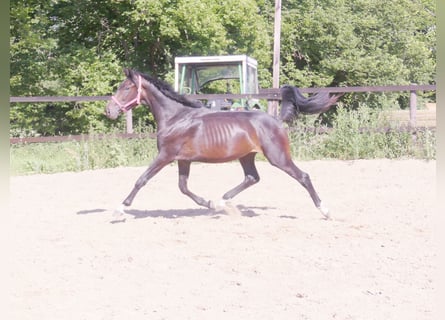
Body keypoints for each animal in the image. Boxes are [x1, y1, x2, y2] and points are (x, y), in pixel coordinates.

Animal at [106, 69, 338, 219]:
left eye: (126, 87)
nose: (109, 110)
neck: (176, 118)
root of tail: (276, 120)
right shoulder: (183, 160)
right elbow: (183, 187)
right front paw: (208, 203)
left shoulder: (165, 155)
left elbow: (141, 180)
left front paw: (120, 208)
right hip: (246, 156)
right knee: (252, 177)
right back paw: (222, 202)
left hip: (278, 157)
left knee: (303, 177)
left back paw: (325, 211)